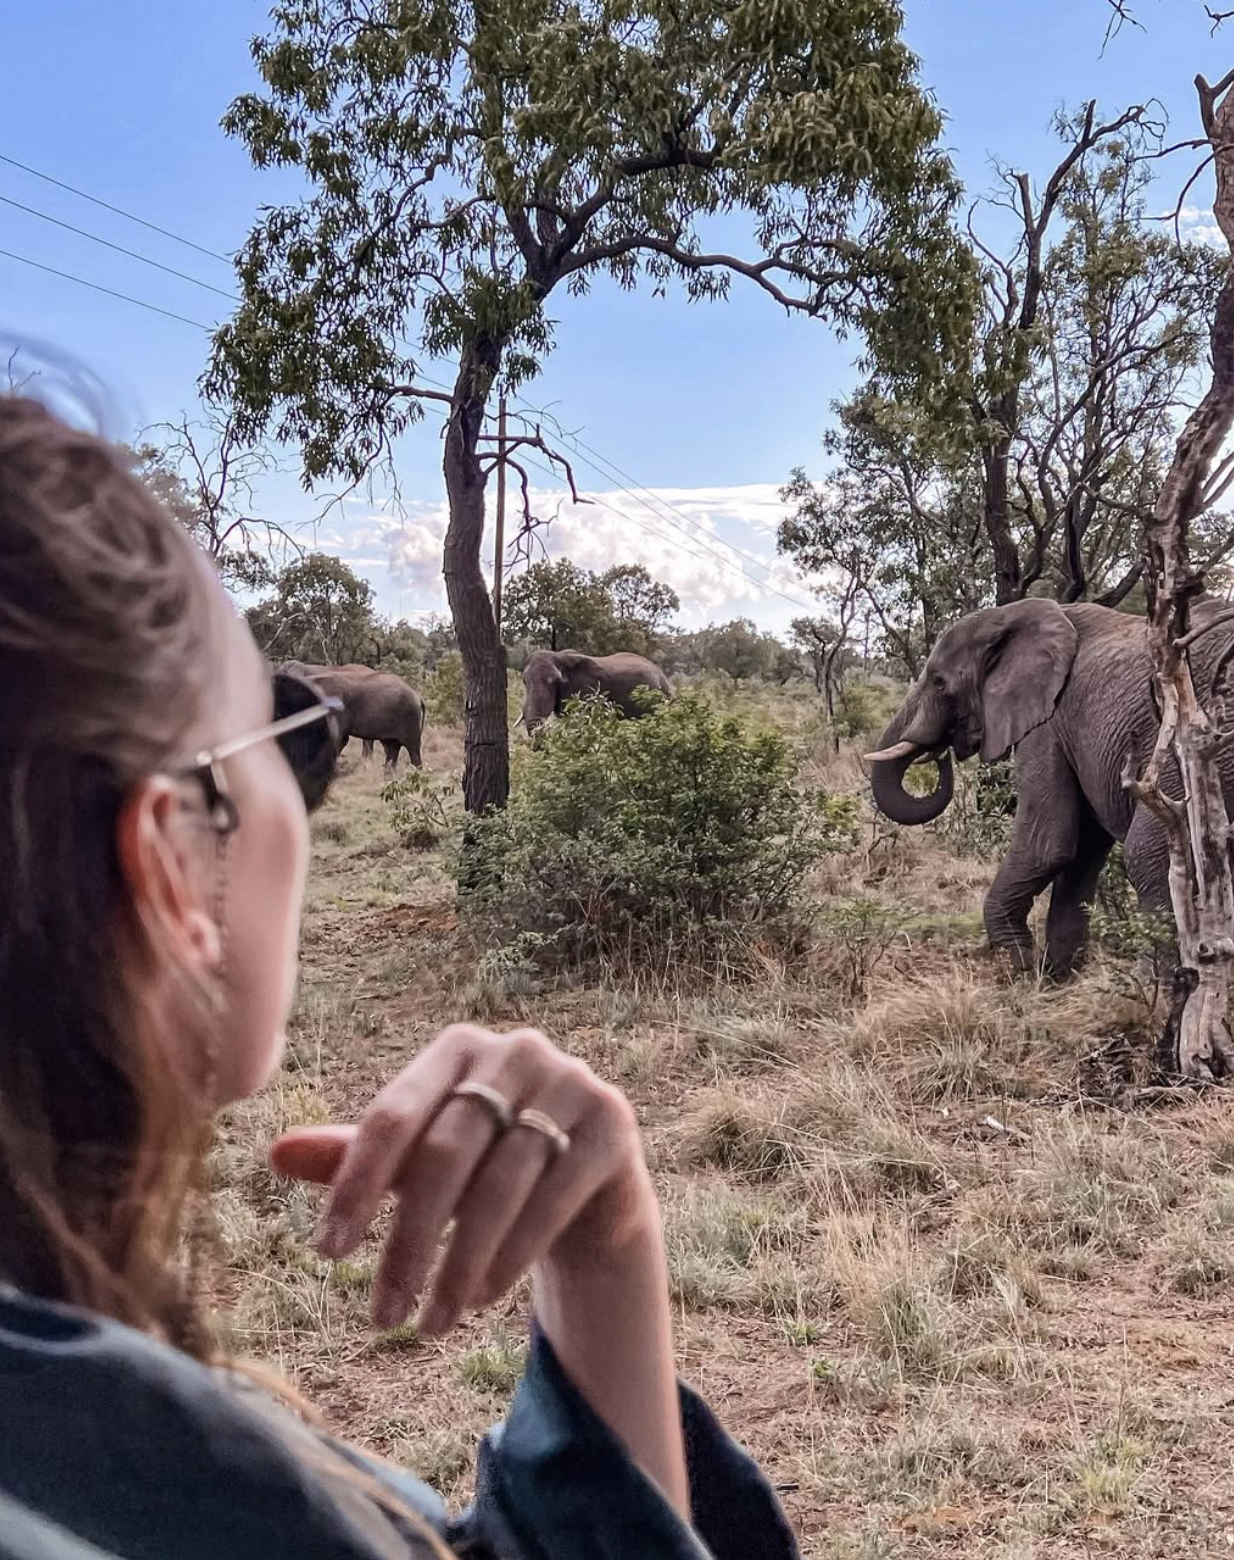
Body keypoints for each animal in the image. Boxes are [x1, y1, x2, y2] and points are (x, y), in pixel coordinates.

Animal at [864, 597, 1234, 979]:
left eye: (939, 683)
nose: (940, 752)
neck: (1010, 615)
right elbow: (1081, 851)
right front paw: (1056, 976)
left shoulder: (1047, 724)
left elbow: (1046, 845)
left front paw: (1018, 966)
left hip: (1204, 746)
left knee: (1147, 851)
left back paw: (1156, 986)